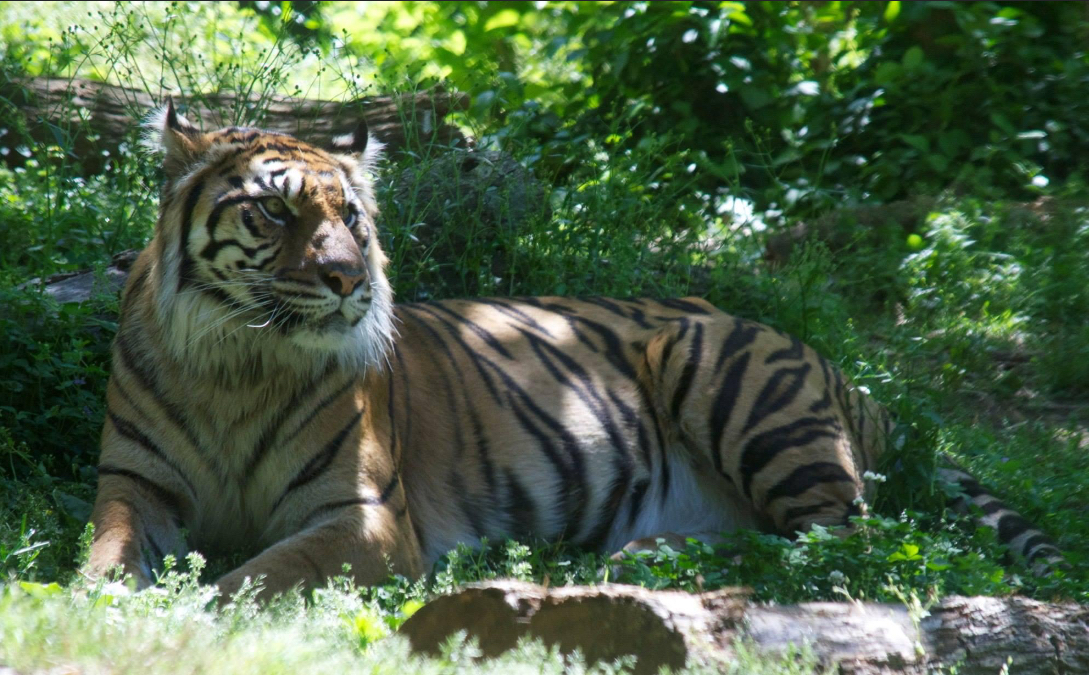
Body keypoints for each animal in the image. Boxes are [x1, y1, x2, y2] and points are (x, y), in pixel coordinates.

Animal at [85, 102, 1063, 601]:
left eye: (351, 218)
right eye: (273, 210)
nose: (345, 279)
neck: (236, 363)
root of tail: (840, 371)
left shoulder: (363, 514)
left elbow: (253, 576)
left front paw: (184, 611)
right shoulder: (136, 485)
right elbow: (103, 554)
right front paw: (97, 602)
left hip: (720, 370)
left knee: (839, 544)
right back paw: (639, 558)